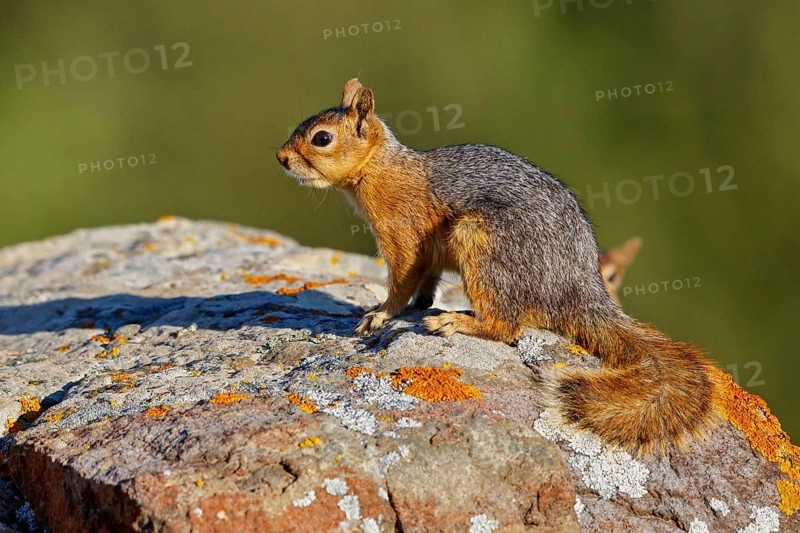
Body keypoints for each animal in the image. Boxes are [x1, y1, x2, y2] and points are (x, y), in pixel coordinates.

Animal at [276, 78, 720, 455]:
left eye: (322, 138)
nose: (280, 158)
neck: (380, 169)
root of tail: (577, 288)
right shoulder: (428, 254)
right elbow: (427, 281)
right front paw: (416, 305)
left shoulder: (403, 234)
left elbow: (402, 281)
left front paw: (380, 315)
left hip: (482, 243)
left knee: (507, 326)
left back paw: (456, 322)